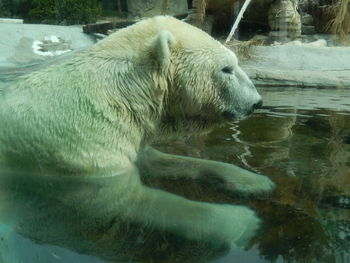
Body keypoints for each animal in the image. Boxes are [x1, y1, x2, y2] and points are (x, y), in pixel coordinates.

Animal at [0, 16, 274, 250]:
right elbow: (130, 199)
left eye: (234, 63)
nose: (256, 102)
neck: (119, 94)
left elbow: (160, 160)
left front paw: (256, 181)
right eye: (227, 69)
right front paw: (241, 223)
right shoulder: (84, 145)